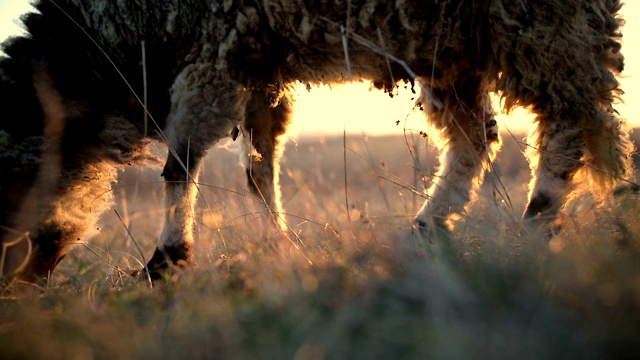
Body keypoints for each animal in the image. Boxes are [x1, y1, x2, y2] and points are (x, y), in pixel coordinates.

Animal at [0, 0, 632, 282]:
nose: (20, 282)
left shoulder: (212, 54)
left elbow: (183, 163)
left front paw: (166, 261)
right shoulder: (254, 64)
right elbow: (259, 170)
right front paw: (281, 244)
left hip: (544, 26)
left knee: (570, 128)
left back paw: (537, 225)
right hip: (457, 49)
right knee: (482, 139)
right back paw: (427, 232)